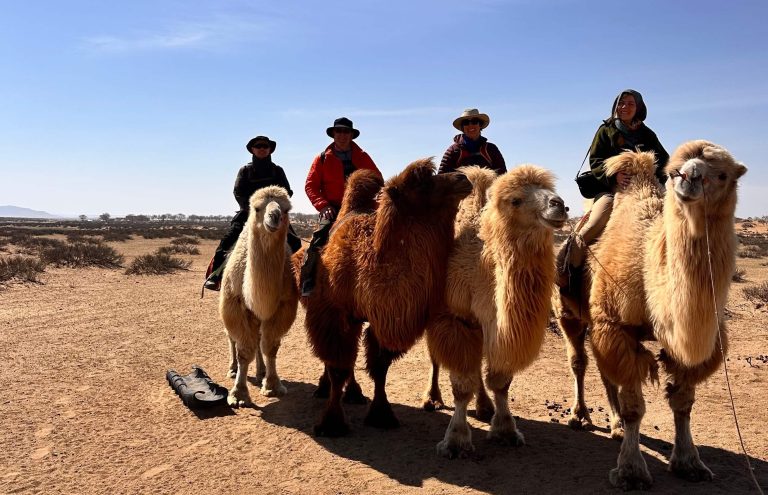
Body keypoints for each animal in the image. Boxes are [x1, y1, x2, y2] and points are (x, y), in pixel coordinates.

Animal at [219, 185, 299, 407]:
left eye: (286, 209)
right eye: (257, 208)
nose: (275, 216)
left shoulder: (282, 307)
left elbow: (270, 347)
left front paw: (272, 385)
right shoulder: (235, 305)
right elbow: (244, 350)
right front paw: (238, 395)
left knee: (258, 339)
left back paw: (261, 371)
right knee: (232, 338)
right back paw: (233, 369)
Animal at [302, 158, 472, 436]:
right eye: (422, 183)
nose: (463, 178)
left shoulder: (385, 318)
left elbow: (380, 367)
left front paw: (381, 415)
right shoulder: (333, 314)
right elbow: (337, 366)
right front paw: (331, 423)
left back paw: (354, 394)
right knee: (334, 358)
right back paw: (324, 389)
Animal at [424, 165, 567, 458]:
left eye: (549, 190)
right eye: (516, 200)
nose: (558, 205)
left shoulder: (494, 324)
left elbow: (501, 382)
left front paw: (505, 430)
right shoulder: (457, 319)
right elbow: (461, 386)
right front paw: (455, 441)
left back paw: (484, 405)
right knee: (436, 358)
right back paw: (432, 398)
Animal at [554, 142, 747, 490]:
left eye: (723, 174)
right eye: (673, 171)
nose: (689, 178)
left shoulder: (688, 345)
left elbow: (682, 402)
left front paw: (690, 463)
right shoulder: (617, 325)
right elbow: (635, 406)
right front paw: (631, 471)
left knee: (605, 373)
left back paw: (615, 425)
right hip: (570, 313)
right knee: (579, 361)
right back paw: (580, 416)